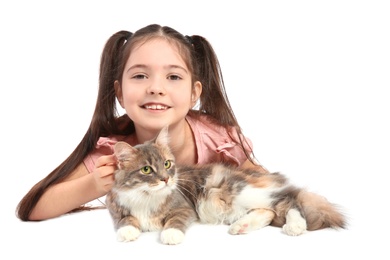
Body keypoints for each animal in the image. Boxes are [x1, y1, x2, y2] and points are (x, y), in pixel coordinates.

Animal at [105, 127, 346, 245]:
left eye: (167, 164)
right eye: (146, 170)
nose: (166, 179)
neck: (146, 196)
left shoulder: (184, 208)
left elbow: (174, 222)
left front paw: (170, 235)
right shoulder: (115, 207)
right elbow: (125, 220)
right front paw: (127, 232)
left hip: (236, 192)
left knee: (290, 199)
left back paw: (295, 226)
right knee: (269, 211)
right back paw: (241, 226)